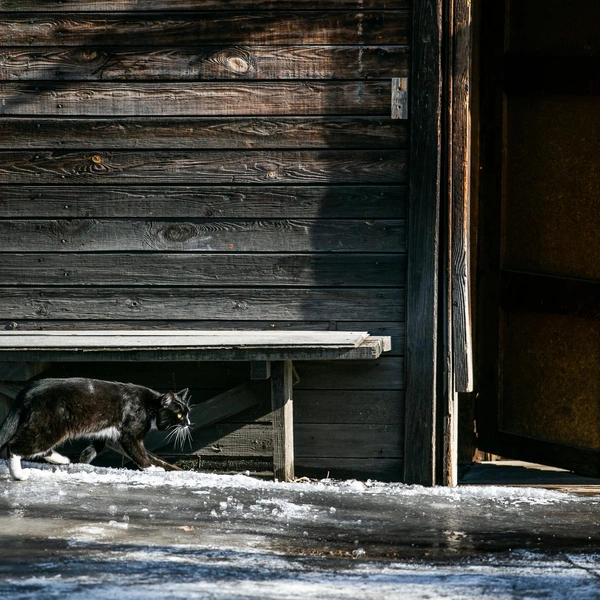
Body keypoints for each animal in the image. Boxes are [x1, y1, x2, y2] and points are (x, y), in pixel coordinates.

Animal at [0, 378, 190, 480]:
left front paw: (85, 456)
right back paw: (18, 474)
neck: (149, 405)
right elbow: (138, 451)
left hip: (46, 427)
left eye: (187, 413)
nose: (188, 423)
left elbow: (99, 444)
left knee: (40, 447)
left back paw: (61, 460)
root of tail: (27, 392)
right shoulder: (130, 433)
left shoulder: (106, 429)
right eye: (180, 415)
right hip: (49, 425)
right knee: (14, 445)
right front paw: (152, 468)